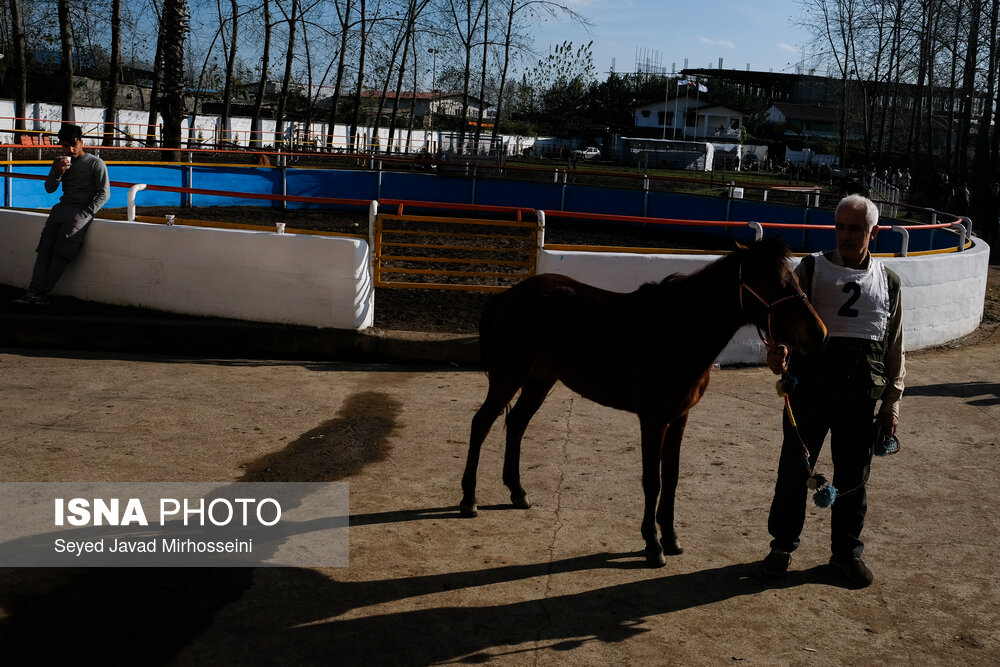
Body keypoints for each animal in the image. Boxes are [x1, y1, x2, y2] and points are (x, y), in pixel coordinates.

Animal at [460, 237, 828, 568]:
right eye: (770, 281)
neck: (675, 330)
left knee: (516, 423)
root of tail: (510, 295)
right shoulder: (653, 419)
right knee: (481, 423)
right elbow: (653, 481)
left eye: (795, 278)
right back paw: (469, 498)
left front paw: (672, 538)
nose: (819, 334)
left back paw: (517, 492)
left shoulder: (679, 417)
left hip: (539, 380)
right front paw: (653, 545)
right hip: (508, 376)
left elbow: (673, 476)